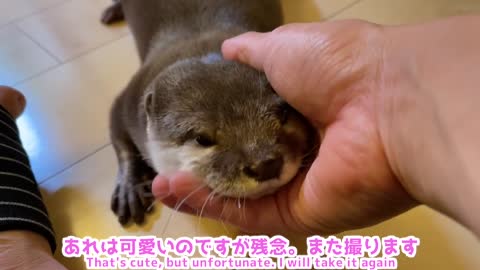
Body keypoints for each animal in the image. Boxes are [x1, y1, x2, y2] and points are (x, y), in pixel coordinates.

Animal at [103, 0, 316, 226]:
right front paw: (128, 189)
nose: (264, 164)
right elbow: (118, 133)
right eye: (202, 138)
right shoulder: (128, 99)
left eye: (283, 113)